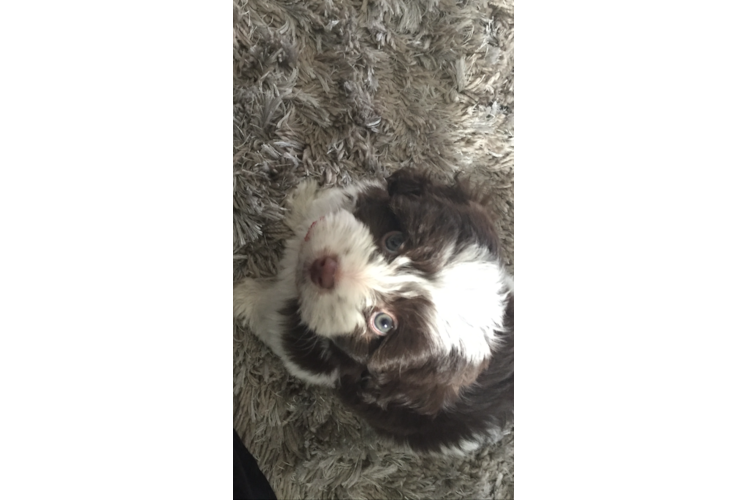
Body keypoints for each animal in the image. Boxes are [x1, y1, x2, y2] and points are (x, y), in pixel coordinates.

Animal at [234, 169, 516, 458]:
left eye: (383, 323)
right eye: (394, 241)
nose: (325, 270)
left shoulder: (307, 352)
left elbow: (272, 317)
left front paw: (245, 298)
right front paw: (303, 203)